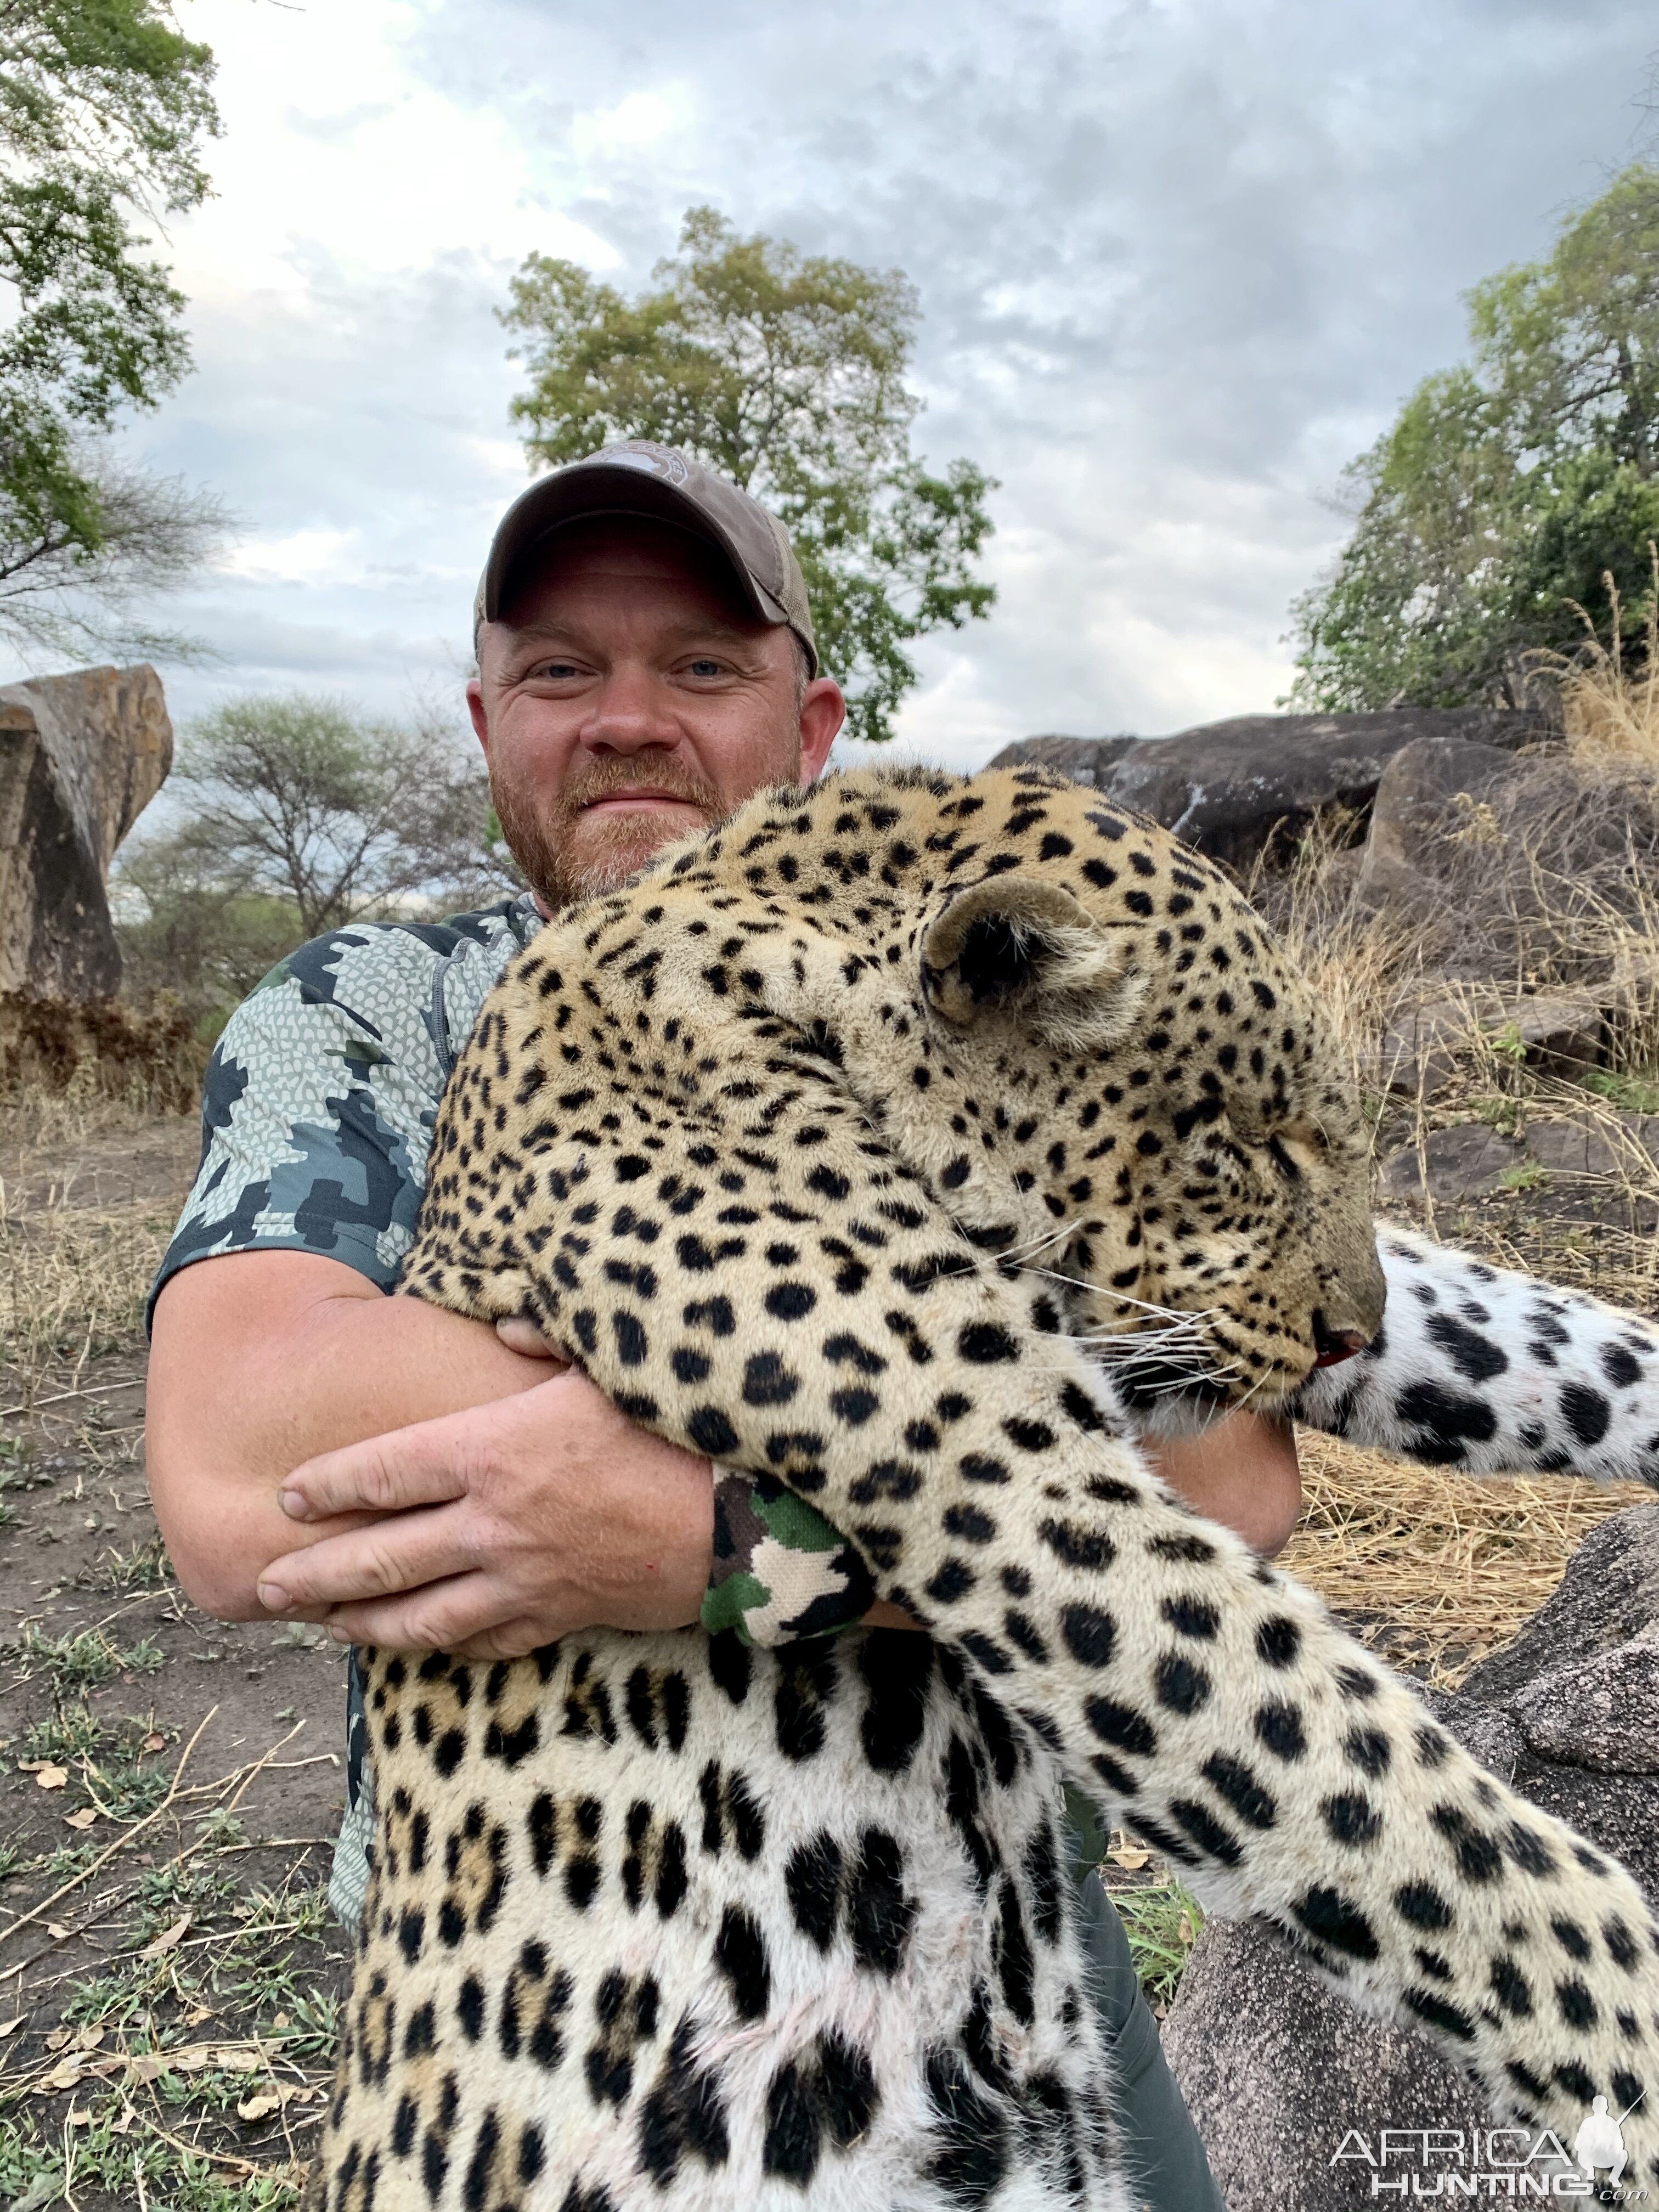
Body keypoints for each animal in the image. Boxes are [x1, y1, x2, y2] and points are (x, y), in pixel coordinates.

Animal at [309, 765, 1659, 2212]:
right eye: (1240, 1148)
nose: (1347, 1335)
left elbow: (1517, 1338)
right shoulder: (1003, 1474)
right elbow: (1388, 1799)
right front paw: (1637, 2052)